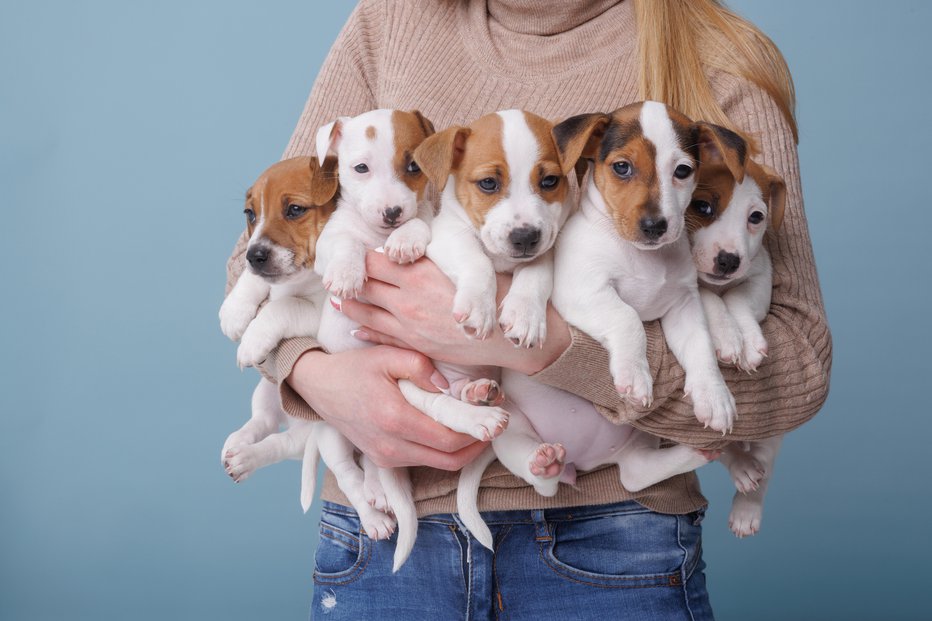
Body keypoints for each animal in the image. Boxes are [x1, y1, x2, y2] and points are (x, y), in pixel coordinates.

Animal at [217, 155, 336, 490]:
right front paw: (234, 310)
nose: (254, 255)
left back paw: (246, 458)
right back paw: (237, 444)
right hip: (266, 390)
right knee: (263, 421)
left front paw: (252, 340)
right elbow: (256, 281)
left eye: (294, 210)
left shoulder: (322, 313)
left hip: (311, 432)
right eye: (250, 214)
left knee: (282, 443)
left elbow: (283, 306)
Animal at [684, 127, 788, 536]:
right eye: (702, 207)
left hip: (772, 429)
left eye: (756, 217)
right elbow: (711, 300)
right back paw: (742, 468)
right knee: (724, 448)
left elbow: (739, 300)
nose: (728, 260)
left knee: (764, 461)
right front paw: (728, 338)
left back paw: (748, 504)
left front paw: (749, 342)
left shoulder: (759, 273)